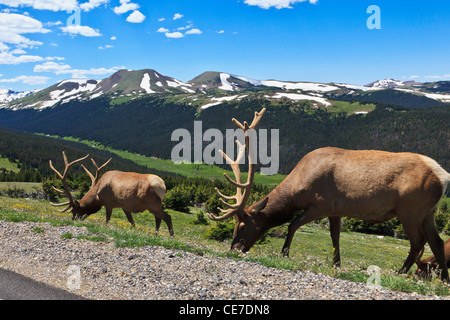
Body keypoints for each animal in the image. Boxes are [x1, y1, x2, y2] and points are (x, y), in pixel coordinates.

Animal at [207, 107, 450, 280]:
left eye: (242, 225)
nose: (234, 248)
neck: (298, 189)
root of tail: (443, 176)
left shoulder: (321, 204)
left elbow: (292, 225)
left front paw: (285, 253)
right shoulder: (336, 210)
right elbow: (335, 236)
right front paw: (336, 264)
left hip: (410, 210)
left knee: (418, 242)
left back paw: (400, 272)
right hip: (428, 212)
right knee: (437, 241)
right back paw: (444, 279)